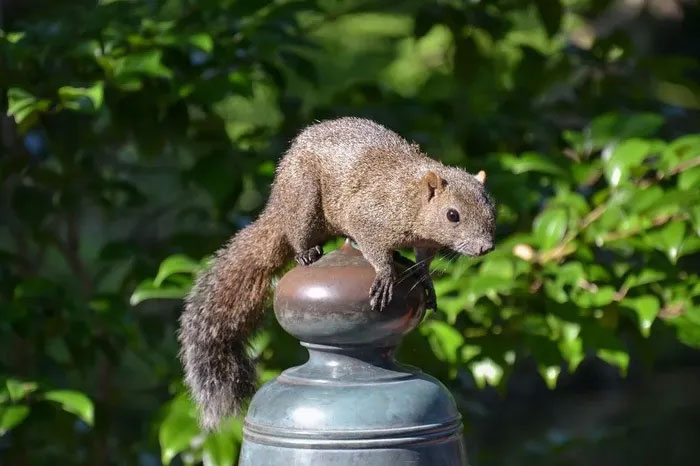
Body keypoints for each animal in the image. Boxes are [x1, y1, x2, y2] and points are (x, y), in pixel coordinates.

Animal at [180, 116, 498, 430]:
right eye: (452, 215)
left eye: (493, 210)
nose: (486, 247)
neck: (411, 197)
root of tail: (278, 204)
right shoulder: (368, 216)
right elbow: (373, 247)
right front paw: (385, 275)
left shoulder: (425, 241)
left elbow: (423, 261)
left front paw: (425, 279)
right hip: (304, 196)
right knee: (297, 231)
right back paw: (306, 252)